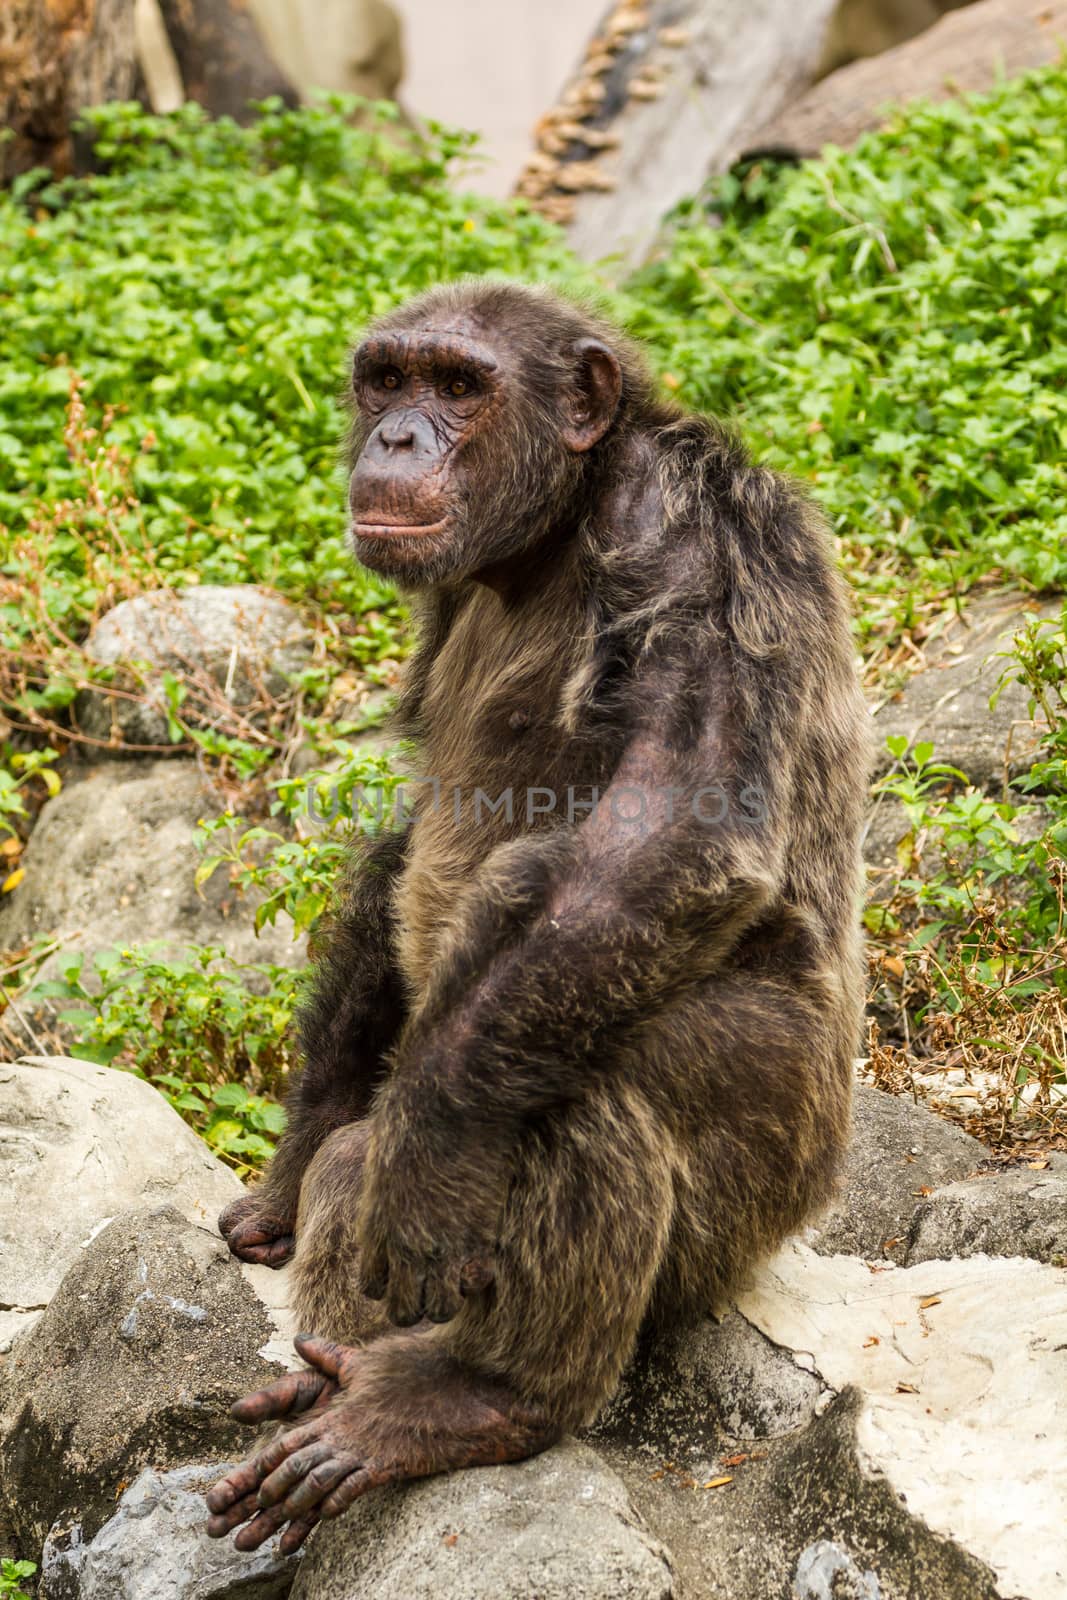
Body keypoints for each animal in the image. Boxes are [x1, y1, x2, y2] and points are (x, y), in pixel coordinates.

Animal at [206, 281, 870, 1555]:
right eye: (387, 376)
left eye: (460, 386)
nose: (397, 436)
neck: (551, 530)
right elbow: (408, 841)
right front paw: (289, 1164)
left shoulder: (692, 532)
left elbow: (673, 824)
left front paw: (419, 1176)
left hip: (768, 1175)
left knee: (571, 1076)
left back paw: (476, 1396)